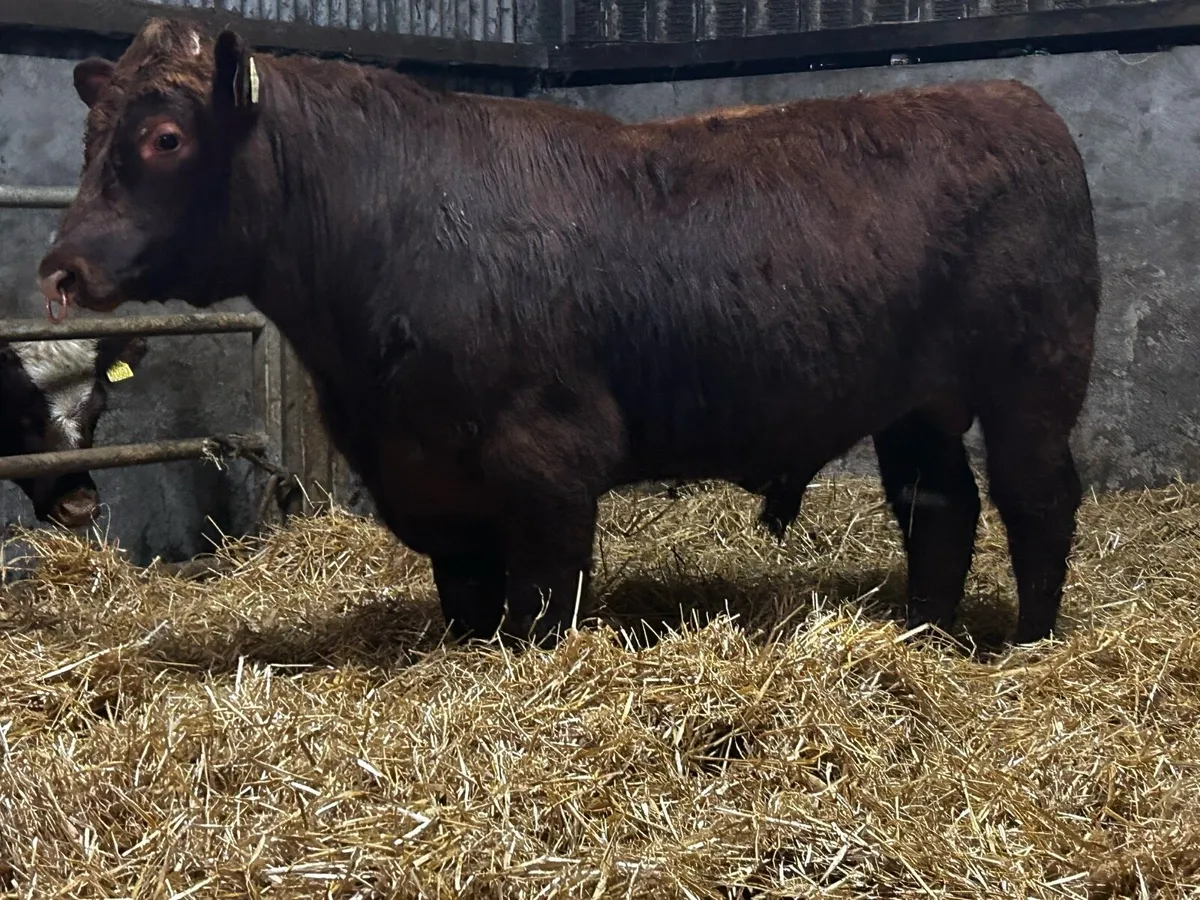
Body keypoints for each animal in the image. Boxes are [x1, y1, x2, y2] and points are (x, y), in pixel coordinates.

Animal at [37, 18, 1101, 647]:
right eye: (89, 139)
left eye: (165, 138)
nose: (62, 266)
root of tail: (1011, 98)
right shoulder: (425, 476)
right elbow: (468, 595)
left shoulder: (546, 456)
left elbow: (543, 597)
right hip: (914, 403)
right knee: (940, 509)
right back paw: (929, 636)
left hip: (1034, 380)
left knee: (1036, 500)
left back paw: (1026, 642)